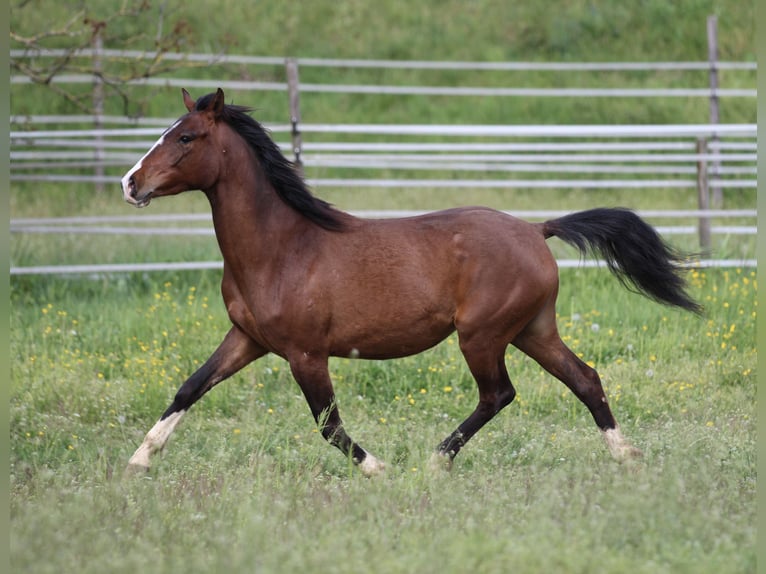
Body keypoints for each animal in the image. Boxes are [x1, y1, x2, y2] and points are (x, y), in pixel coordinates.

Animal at [121, 88, 700, 477]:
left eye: (186, 137)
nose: (131, 183)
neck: (282, 249)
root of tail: (536, 230)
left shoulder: (305, 353)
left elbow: (328, 424)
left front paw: (378, 469)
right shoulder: (247, 340)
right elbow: (189, 387)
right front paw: (139, 460)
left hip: (483, 336)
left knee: (499, 394)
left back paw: (436, 459)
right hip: (533, 330)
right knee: (585, 378)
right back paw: (627, 455)